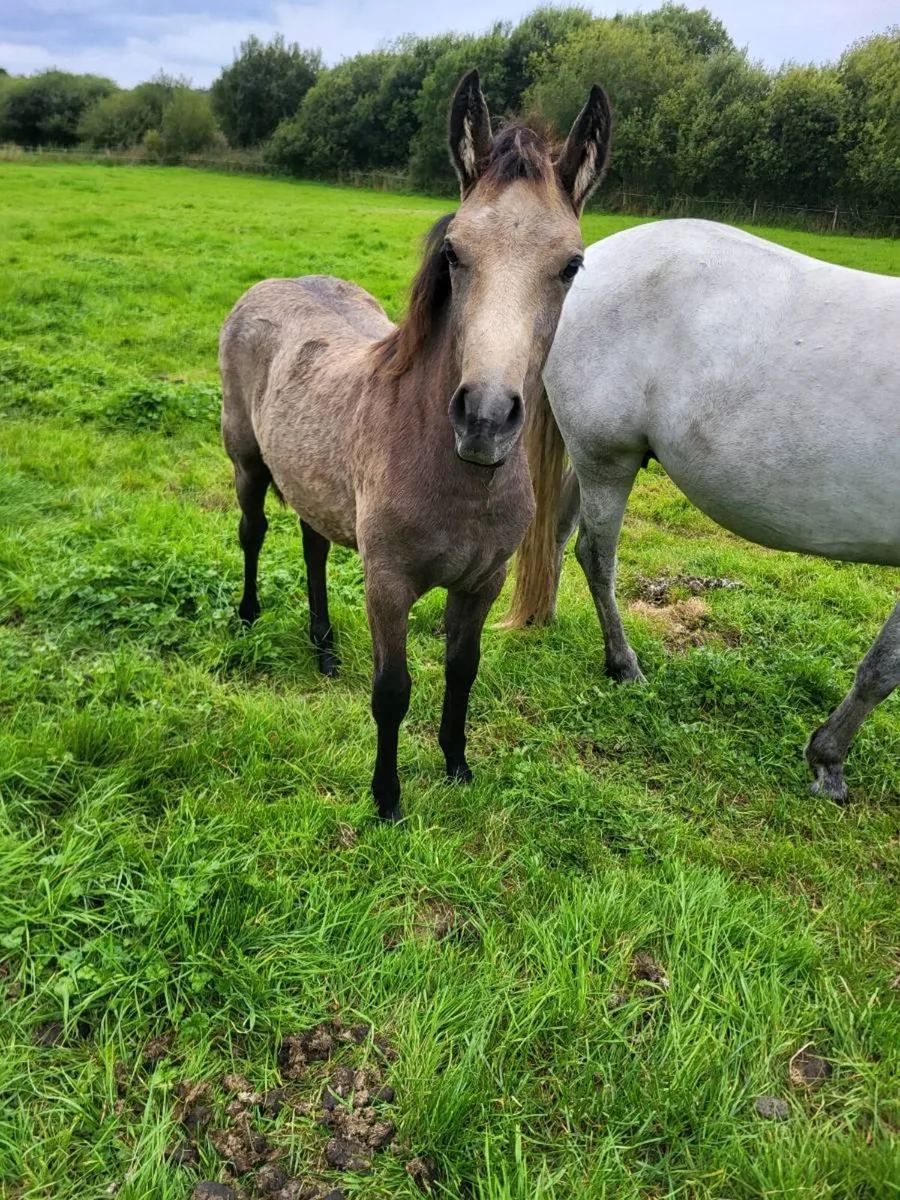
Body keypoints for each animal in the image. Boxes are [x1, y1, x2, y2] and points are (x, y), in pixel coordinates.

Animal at [219, 70, 611, 820]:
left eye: (572, 266)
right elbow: (392, 690)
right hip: (246, 460)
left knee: (313, 546)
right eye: (454, 252)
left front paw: (457, 765)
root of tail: (271, 285)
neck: (459, 478)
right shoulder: (389, 584)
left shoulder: (483, 582)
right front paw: (387, 799)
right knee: (253, 533)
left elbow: (463, 671)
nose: (485, 419)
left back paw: (324, 650)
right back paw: (248, 619)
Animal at [508, 218, 900, 803]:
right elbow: (884, 668)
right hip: (607, 458)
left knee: (556, 534)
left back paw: (547, 620)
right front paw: (827, 761)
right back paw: (623, 666)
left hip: (597, 458)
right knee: (595, 556)